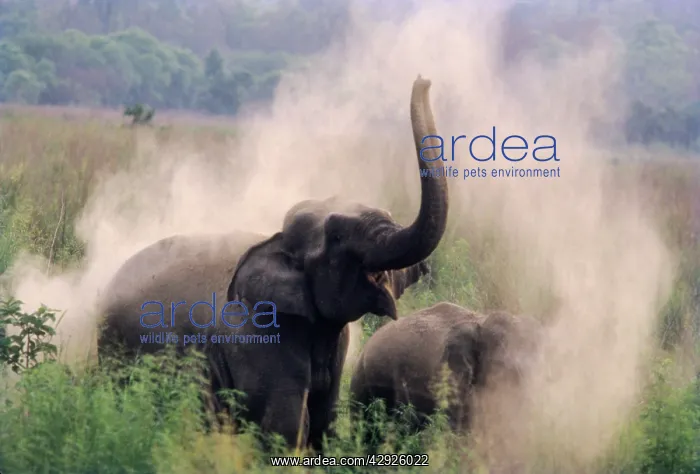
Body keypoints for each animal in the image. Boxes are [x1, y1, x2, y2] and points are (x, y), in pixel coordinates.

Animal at [97, 74, 449, 451]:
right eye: (337, 237)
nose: (423, 79)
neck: (274, 241)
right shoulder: (263, 336)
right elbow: (286, 423)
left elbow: (324, 420)